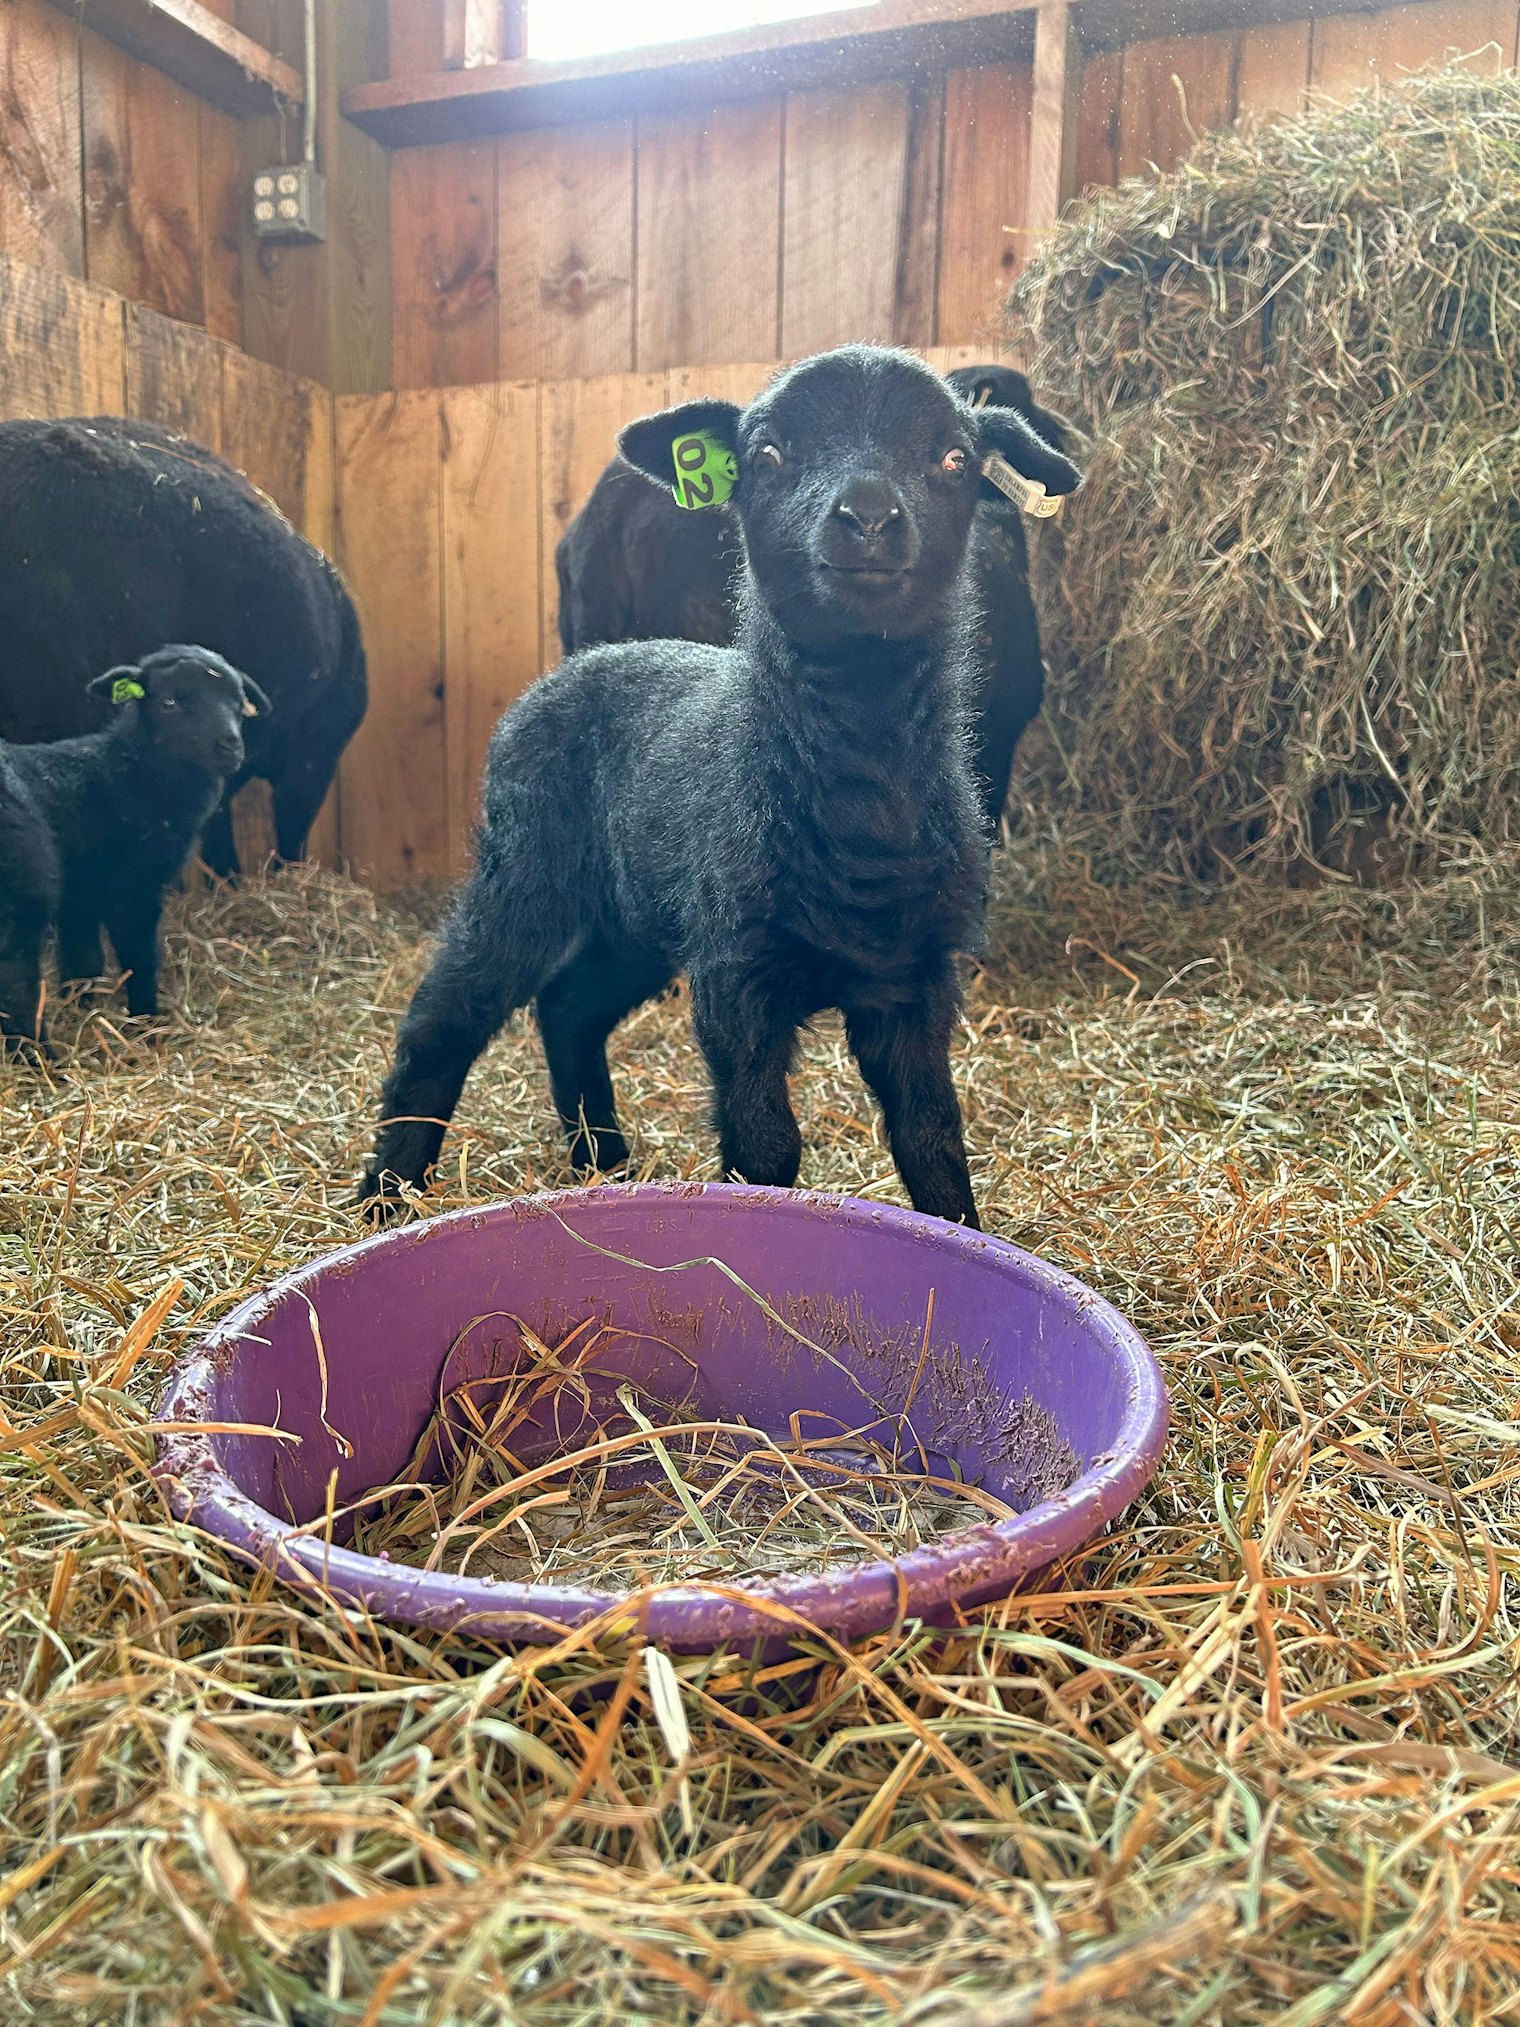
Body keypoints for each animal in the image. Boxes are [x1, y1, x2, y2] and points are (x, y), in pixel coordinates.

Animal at [0, 646, 271, 1054]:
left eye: (239, 704)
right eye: (169, 702)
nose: (230, 745)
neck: (130, 774)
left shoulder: (82, 892)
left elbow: (82, 957)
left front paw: (84, 1009)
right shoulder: (132, 885)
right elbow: (140, 956)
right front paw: (147, 1022)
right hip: (20, 899)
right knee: (15, 988)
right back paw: (41, 1057)